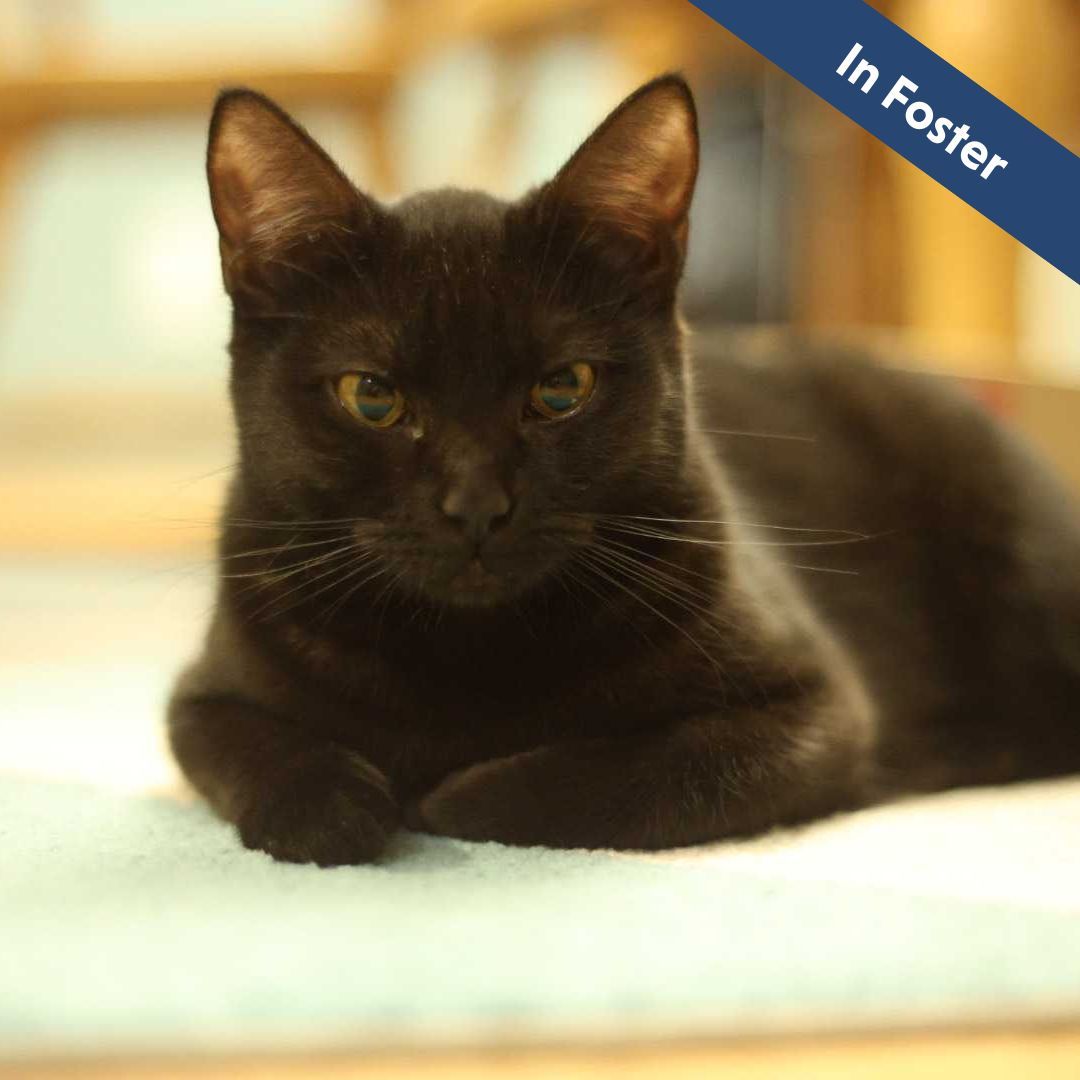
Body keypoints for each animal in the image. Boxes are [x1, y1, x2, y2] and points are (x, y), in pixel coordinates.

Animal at [166, 76, 1080, 864]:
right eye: (372, 396)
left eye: (562, 388)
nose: (476, 504)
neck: (468, 651)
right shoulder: (200, 694)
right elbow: (256, 749)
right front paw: (336, 804)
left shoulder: (817, 707)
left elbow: (639, 773)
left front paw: (449, 796)